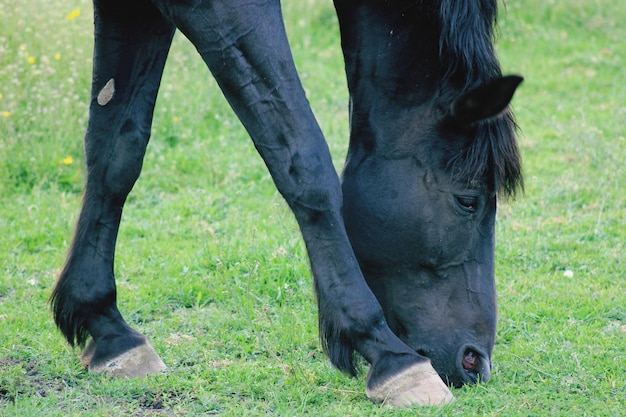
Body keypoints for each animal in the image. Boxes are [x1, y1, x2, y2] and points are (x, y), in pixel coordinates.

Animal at [51, 0, 520, 404]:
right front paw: (388, 355)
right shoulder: (221, 10)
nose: (476, 362)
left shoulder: (131, 6)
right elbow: (303, 159)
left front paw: (107, 329)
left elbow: (117, 151)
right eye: (468, 201)